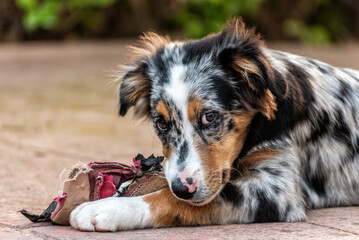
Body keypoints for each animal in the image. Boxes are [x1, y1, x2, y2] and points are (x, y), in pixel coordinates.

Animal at [69, 17, 359, 230]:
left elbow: (170, 198)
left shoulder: (277, 189)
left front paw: (106, 209)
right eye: (161, 123)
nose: (182, 188)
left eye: (209, 116)